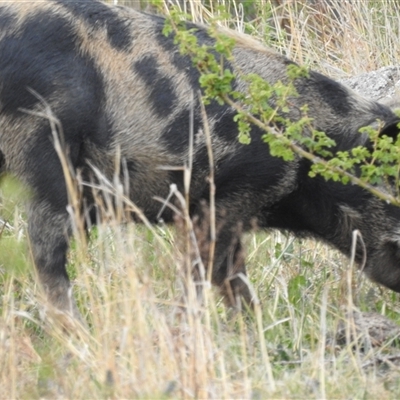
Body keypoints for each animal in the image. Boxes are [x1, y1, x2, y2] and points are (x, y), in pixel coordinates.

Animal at [0, 0, 400, 318]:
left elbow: (232, 277)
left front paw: (252, 329)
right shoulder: (228, 194)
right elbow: (204, 271)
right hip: (45, 157)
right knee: (46, 257)